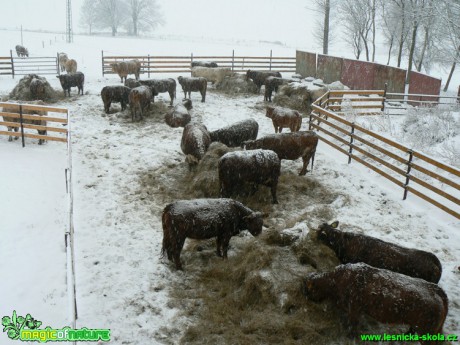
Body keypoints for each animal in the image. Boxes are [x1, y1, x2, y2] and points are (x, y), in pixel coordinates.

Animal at [304, 260, 448, 342]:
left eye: (308, 288)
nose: (306, 298)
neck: (338, 279)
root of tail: (435, 289)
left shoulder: (354, 309)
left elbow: (353, 325)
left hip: (426, 331)